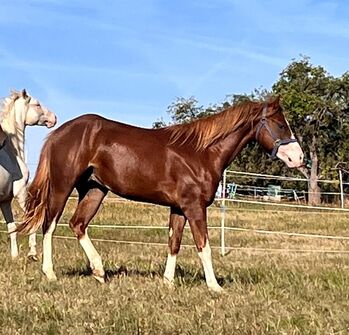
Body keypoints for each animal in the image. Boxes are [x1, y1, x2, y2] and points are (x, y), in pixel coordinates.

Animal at [0, 89, 56, 260]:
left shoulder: (5, 201)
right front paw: (32, 253)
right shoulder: (20, 193)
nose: (54, 118)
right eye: (37, 104)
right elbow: (31, 219)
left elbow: (11, 228)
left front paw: (14, 255)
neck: (12, 152)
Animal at [17, 97, 302, 292]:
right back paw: (50, 273)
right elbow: (204, 246)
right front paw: (215, 287)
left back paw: (99, 271)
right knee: (49, 225)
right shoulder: (195, 208)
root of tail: (58, 133)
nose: (298, 158)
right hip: (62, 187)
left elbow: (173, 243)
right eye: (280, 124)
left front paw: (168, 282)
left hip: (95, 190)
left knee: (78, 224)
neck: (201, 153)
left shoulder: (178, 208)